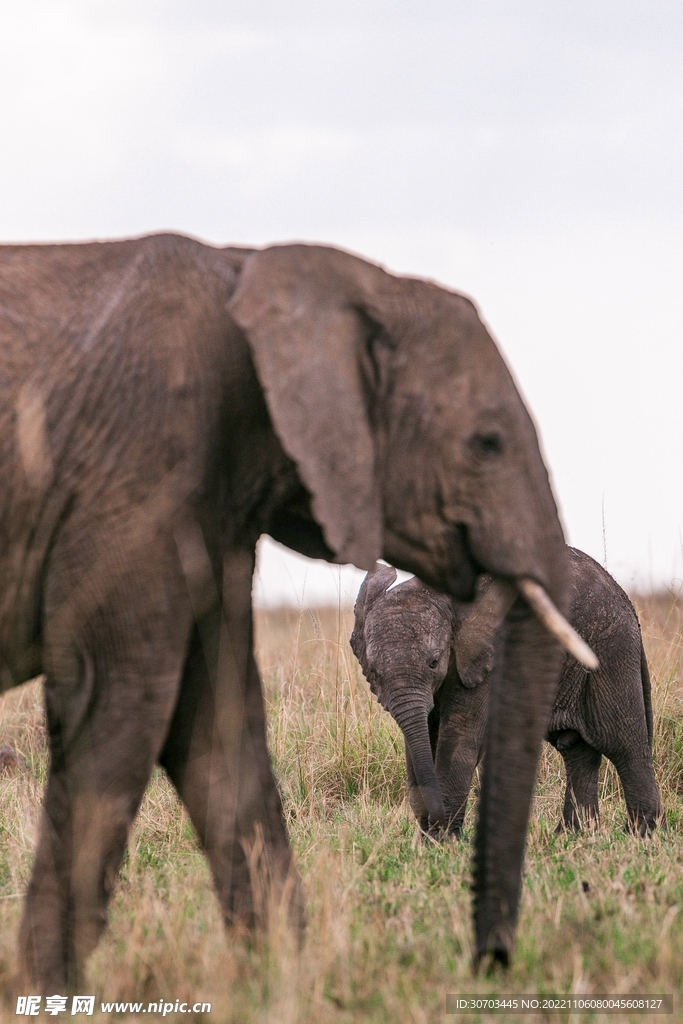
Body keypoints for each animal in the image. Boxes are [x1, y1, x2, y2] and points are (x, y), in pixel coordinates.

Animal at [0, 230, 589, 983]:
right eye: (487, 443)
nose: (491, 962)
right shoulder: (134, 477)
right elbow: (117, 711)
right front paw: (41, 993)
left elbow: (219, 727)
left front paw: (282, 981)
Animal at [352, 548, 663, 835]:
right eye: (374, 672)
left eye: (434, 661)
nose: (430, 820)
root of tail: (626, 600)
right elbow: (423, 737)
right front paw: (430, 840)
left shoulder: (488, 655)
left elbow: (460, 737)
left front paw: (440, 842)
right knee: (577, 750)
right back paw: (573, 835)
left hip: (610, 648)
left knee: (623, 743)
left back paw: (639, 834)